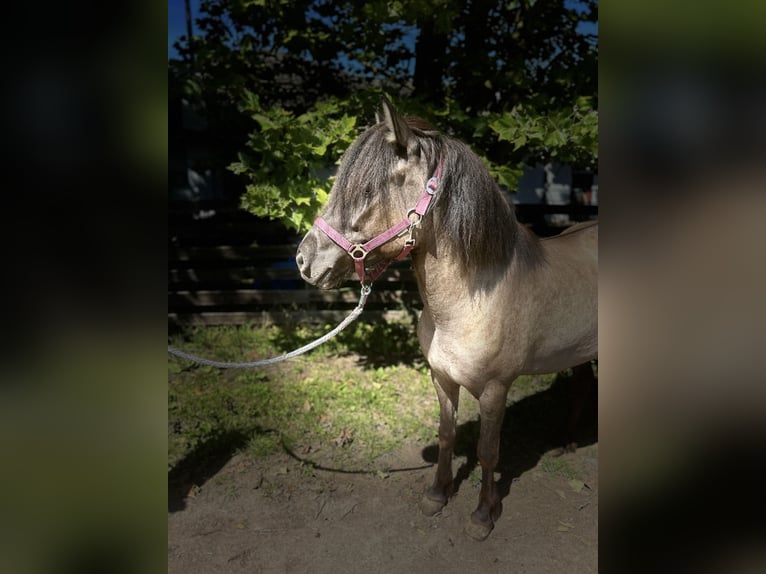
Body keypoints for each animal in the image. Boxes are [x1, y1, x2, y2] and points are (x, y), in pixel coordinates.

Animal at [296, 97, 600, 544]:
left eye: (367, 190)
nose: (304, 260)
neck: (470, 302)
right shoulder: (441, 378)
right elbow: (446, 436)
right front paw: (437, 495)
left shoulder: (494, 389)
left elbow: (488, 451)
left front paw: (483, 515)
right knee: (581, 386)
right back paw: (564, 442)